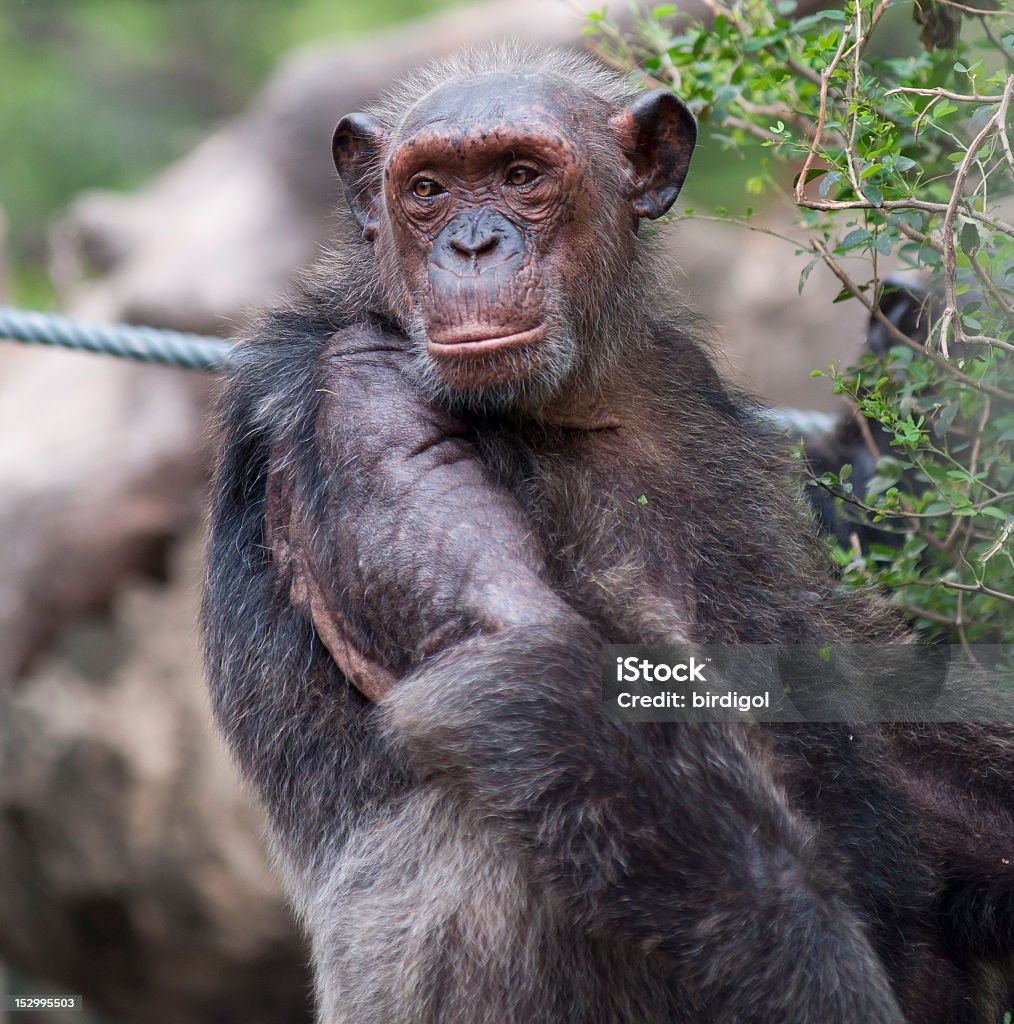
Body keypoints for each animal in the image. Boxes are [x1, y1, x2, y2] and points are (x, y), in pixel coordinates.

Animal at [202, 46, 1011, 1024]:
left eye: (521, 176)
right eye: (427, 189)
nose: (471, 245)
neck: (572, 396)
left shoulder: (686, 377)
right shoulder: (359, 398)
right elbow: (533, 656)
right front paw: (822, 984)